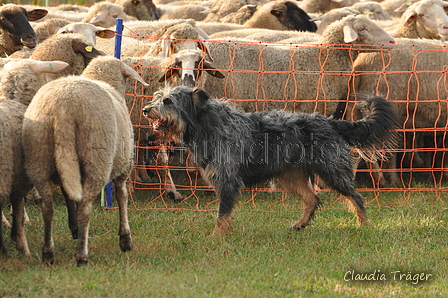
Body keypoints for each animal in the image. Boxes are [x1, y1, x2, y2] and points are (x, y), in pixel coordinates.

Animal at [22, 56, 148, 266]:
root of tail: (64, 109)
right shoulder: (123, 167)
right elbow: (122, 197)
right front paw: (125, 239)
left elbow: (68, 195)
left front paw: (74, 229)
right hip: (96, 160)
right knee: (85, 208)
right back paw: (82, 255)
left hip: (38, 156)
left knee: (48, 207)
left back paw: (48, 253)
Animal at [142, 86, 398, 237]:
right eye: (157, 97)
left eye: (168, 101)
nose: (145, 109)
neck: (207, 124)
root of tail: (331, 122)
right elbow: (225, 215)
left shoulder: (228, 182)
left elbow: (222, 215)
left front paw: (216, 238)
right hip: (290, 177)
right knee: (313, 199)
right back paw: (300, 224)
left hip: (333, 172)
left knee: (356, 198)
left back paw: (364, 226)